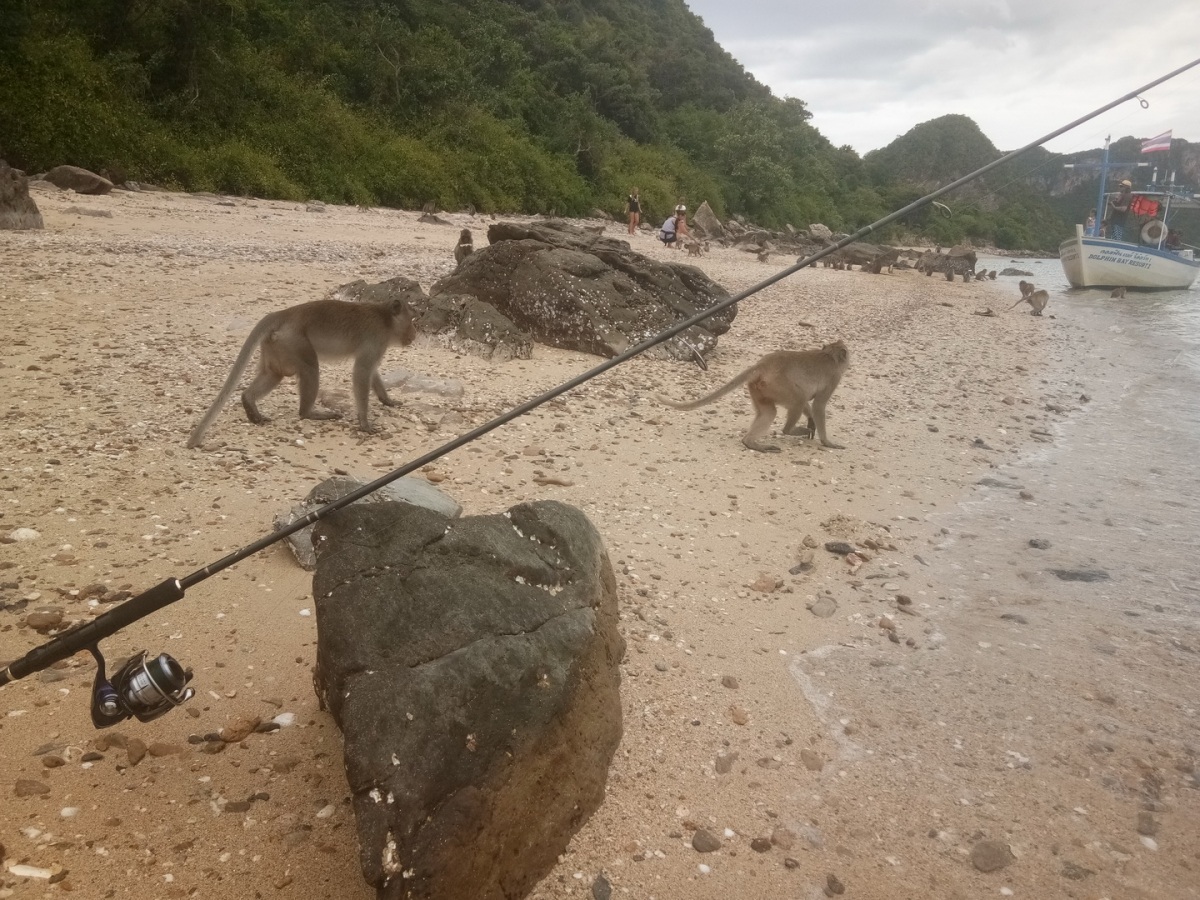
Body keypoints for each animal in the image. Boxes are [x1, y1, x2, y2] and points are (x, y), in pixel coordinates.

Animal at [183, 297, 417, 448]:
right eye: (412, 320)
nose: (415, 334)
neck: (385, 319)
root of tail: (284, 314)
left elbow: (372, 372)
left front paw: (387, 400)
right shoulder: (376, 340)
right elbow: (362, 371)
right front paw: (364, 422)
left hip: (276, 345)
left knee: (274, 374)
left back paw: (249, 401)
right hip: (293, 341)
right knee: (311, 368)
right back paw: (309, 413)